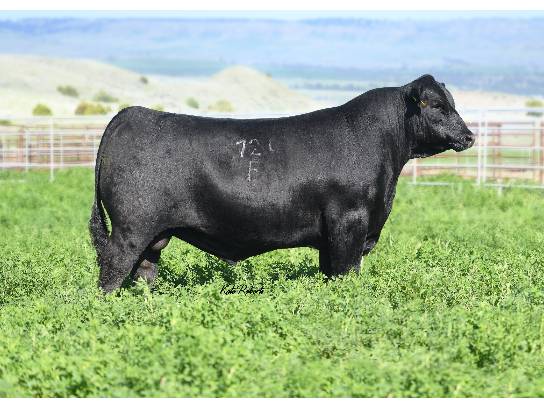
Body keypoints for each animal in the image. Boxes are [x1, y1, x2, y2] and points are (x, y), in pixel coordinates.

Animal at [89, 74, 474, 293]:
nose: (469, 135)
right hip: (131, 229)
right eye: (437, 105)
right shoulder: (349, 222)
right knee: (111, 273)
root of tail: (131, 113)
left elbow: (330, 273)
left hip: (154, 236)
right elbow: (345, 273)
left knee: (143, 274)